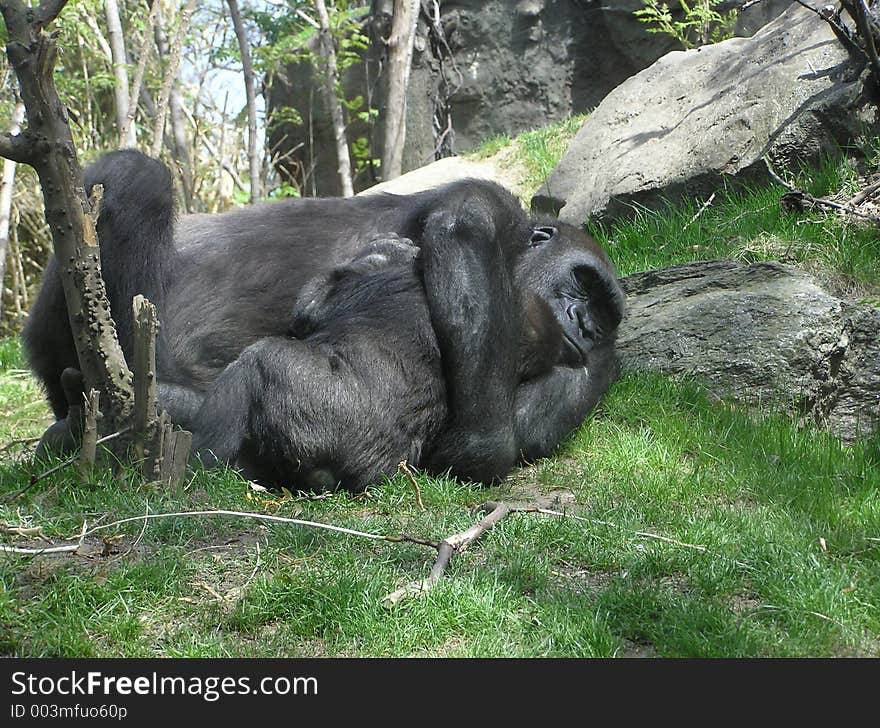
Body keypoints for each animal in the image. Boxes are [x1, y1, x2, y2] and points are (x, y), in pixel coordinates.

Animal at [22, 151, 624, 492]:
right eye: (582, 286)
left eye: (601, 314)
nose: (583, 324)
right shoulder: (490, 202)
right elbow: (464, 227)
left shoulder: (591, 371)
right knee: (135, 177)